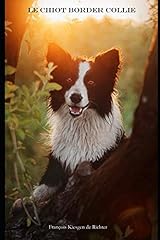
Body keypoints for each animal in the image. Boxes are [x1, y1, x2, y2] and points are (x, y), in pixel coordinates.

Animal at [33, 43, 124, 202]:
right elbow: (43, 189)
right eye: (69, 79)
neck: (80, 125)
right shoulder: (59, 158)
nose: (75, 97)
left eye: (91, 83)